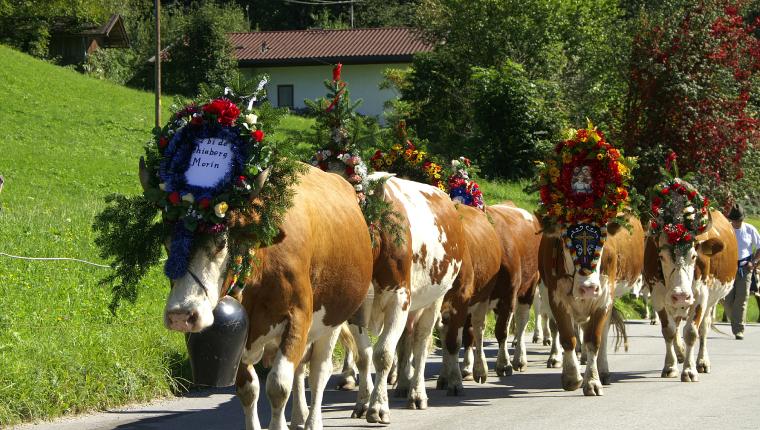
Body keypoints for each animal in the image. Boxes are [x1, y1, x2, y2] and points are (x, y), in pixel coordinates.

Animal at [149, 162, 374, 430]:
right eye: (168, 243)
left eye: (221, 242)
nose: (181, 315)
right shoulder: (241, 338)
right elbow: (248, 390)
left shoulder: (299, 318)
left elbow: (278, 386)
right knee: (302, 369)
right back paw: (298, 418)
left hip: (333, 319)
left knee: (319, 371)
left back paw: (313, 421)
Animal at [344, 174, 464, 424]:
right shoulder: (356, 310)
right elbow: (364, 356)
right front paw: (363, 403)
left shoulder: (399, 299)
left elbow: (383, 354)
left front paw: (378, 407)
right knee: (407, 341)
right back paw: (403, 385)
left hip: (434, 299)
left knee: (420, 343)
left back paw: (417, 394)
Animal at [536, 217, 644, 394]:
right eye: (565, 242)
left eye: (603, 241)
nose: (588, 288)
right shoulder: (555, 297)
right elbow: (567, 337)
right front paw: (572, 377)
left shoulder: (604, 297)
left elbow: (594, 339)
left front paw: (593, 381)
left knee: (602, 333)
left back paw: (603, 371)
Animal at [648, 210, 736, 382]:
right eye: (661, 256)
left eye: (694, 256)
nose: (681, 295)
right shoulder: (657, 295)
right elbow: (668, 331)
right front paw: (670, 366)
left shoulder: (700, 295)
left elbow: (691, 332)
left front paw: (689, 370)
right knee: (676, 324)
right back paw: (680, 353)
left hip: (711, 302)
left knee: (704, 328)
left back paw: (702, 362)